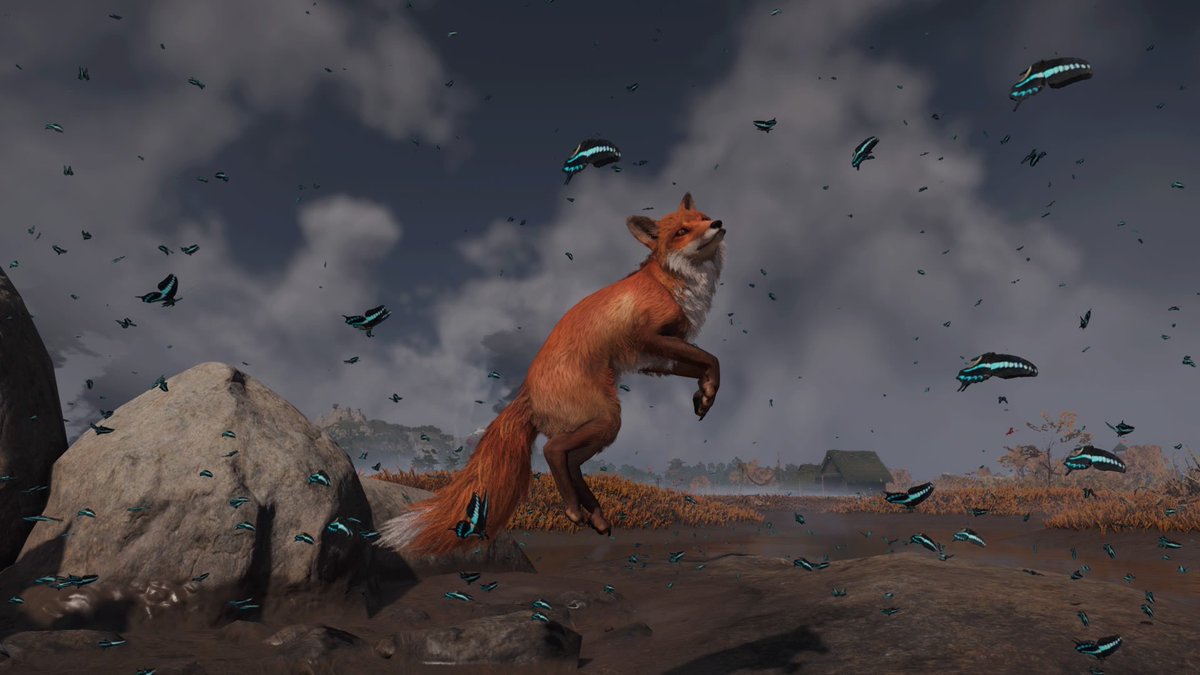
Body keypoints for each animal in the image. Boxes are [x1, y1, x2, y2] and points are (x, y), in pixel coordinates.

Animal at [378, 192, 726, 556]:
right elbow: (712, 358)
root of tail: (527, 392)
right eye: (682, 231)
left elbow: (706, 364)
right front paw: (707, 390)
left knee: (572, 461)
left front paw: (705, 394)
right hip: (607, 417)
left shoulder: (652, 357)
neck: (671, 285)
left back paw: (596, 516)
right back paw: (574, 511)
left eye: (705, 217)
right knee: (555, 452)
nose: (718, 224)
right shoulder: (647, 338)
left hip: (598, 423)